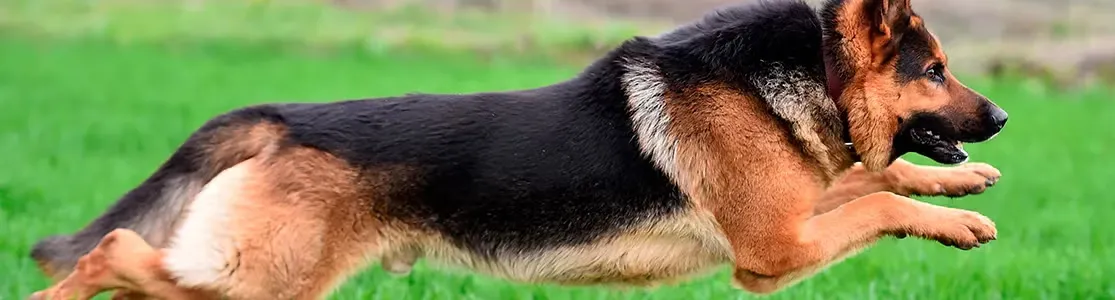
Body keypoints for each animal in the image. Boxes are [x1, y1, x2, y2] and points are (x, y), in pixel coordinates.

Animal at [28, 0, 1012, 296]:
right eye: (935, 70)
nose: (1002, 118)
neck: (790, 75)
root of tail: (284, 117)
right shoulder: (772, 249)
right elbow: (877, 195)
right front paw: (955, 223)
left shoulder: (794, 212)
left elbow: (871, 176)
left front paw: (966, 184)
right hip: (256, 283)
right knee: (112, 249)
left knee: (123, 254)